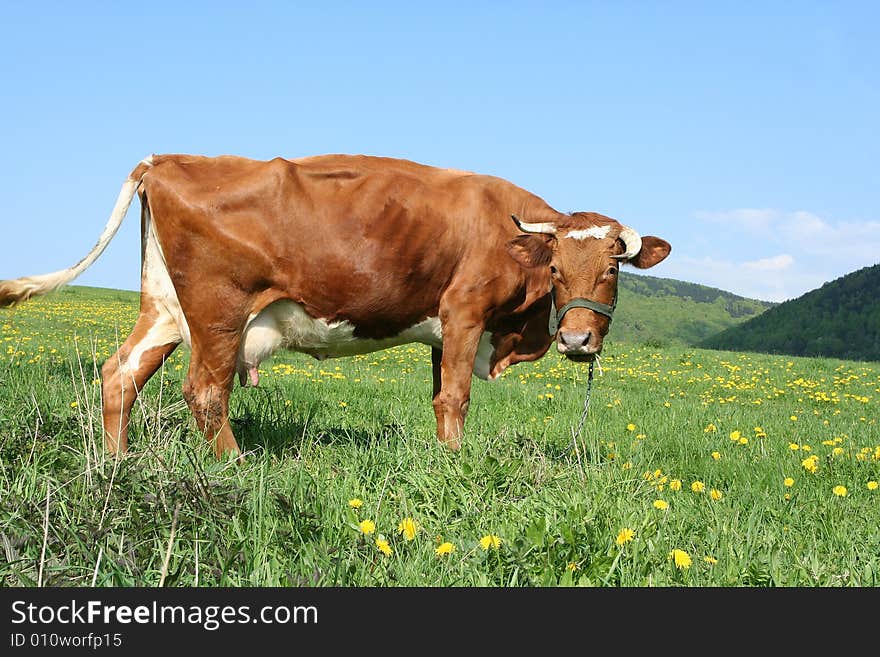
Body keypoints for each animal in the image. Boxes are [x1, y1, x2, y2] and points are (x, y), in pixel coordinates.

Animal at [0, 156, 668, 458]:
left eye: (612, 268)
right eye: (555, 268)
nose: (577, 341)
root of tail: (167, 160)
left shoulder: (444, 332)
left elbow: (439, 396)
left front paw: (439, 456)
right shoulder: (464, 313)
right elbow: (455, 397)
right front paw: (455, 465)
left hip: (165, 308)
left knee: (121, 372)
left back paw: (117, 462)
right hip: (218, 310)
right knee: (206, 391)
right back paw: (237, 465)